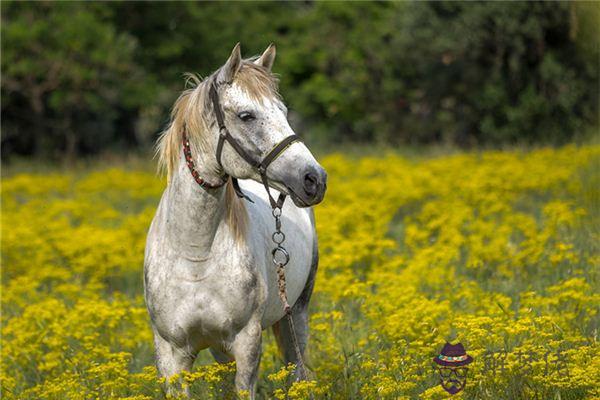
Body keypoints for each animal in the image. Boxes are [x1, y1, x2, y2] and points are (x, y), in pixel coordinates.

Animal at [143, 43, 326, 396]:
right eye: (246, 116)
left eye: (283, 112)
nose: (314, 179)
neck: (195, 255)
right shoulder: (171, 355)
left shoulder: (246, 344)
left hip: (296, 313)